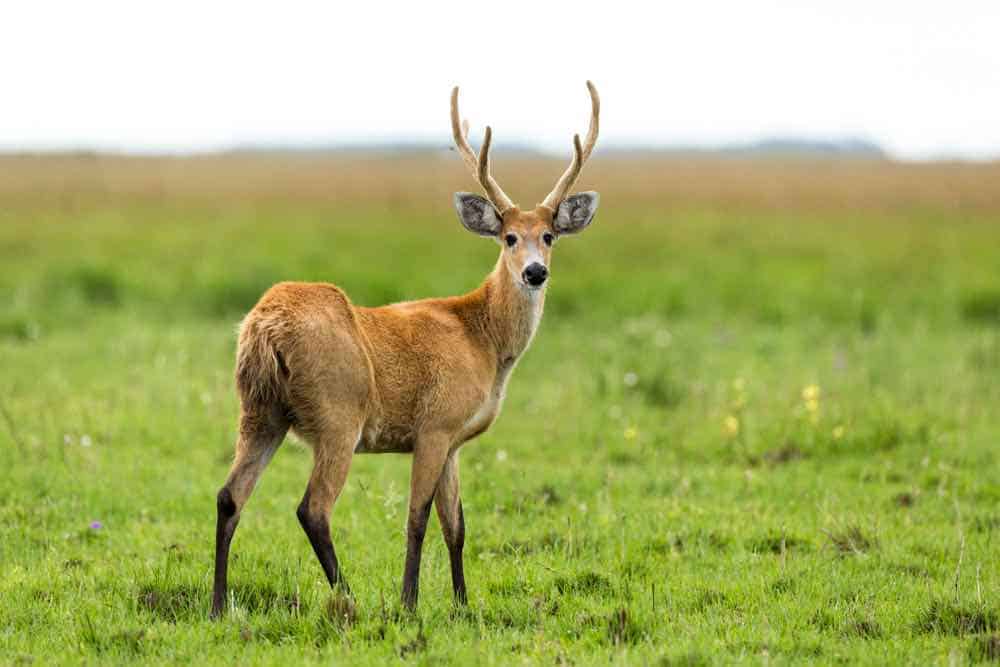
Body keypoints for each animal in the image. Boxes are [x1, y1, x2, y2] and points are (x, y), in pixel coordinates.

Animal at [211, 81, 600, 620]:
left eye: (549, 236)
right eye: (508, 237)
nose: (535, 272)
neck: (482, 339)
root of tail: (264, 328)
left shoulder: (454, 440)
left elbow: (457, 525)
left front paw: (462, 604)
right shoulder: (433, 425)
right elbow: (417, 518)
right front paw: (410, 602)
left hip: (259, 410)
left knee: (229, 496)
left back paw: (217, 606)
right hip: (338, 413)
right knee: (313, 508)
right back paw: (350, 599)